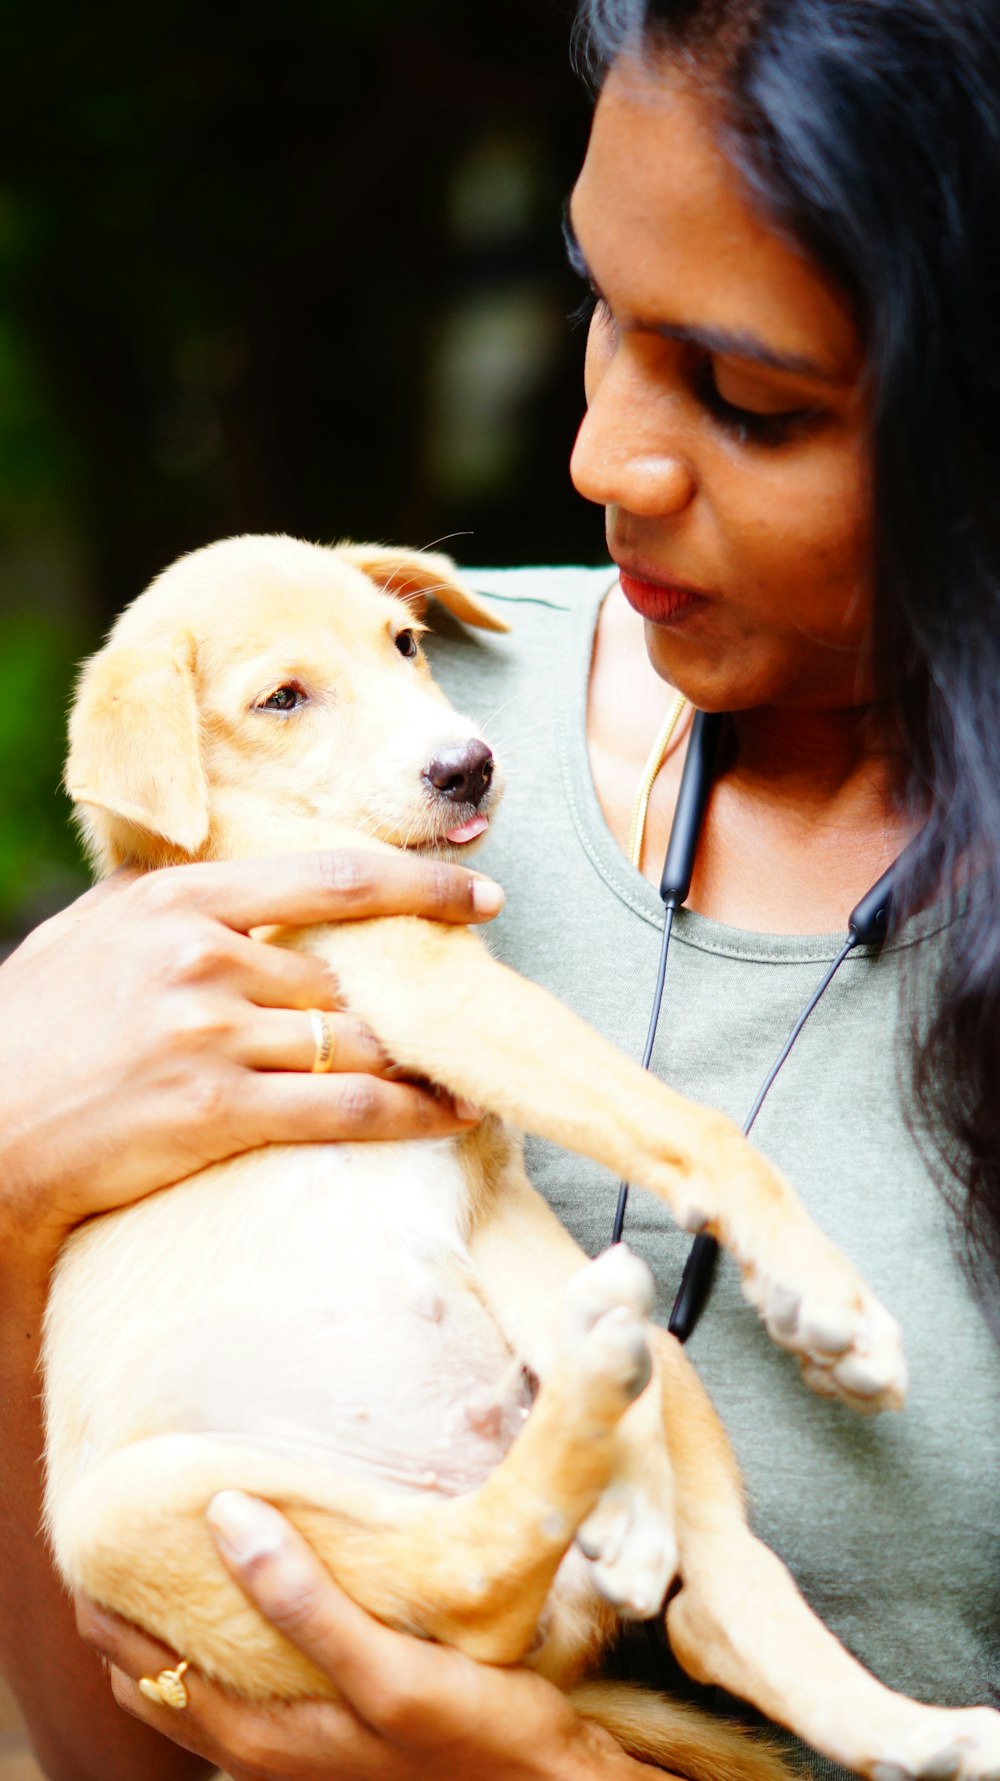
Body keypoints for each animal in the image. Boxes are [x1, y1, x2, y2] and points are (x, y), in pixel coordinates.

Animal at [48, 534, 1000, 1773]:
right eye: (282, 698)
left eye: (405, 643)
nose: (467, 766)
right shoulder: (430, 986)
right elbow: (683, 1120)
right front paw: (825, 1295)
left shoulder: (479, 1115)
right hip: (145, 1514)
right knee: (466, 1589)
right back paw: (596, 1417)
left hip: (641, 1363)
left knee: (705, 1608)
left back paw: (910, 1720)